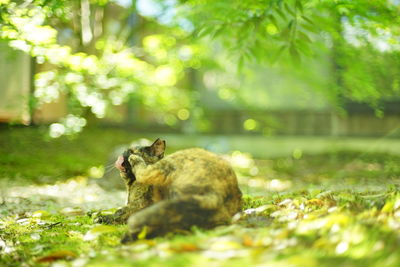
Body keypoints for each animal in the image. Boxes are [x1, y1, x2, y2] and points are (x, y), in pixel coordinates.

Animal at [96, 138, 242, 243]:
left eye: (132, 151)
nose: (124, 153)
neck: (130, 185)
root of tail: (217, 192)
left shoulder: (141, 204)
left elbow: (120, 211)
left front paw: (101, 217)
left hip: (168, 166)